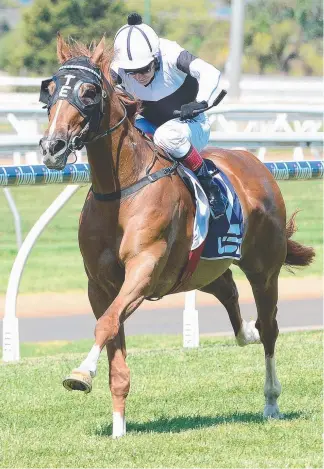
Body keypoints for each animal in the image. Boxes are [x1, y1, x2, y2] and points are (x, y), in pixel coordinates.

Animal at [38, 35, 314, 436]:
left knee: (270, 328)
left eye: (89, 92)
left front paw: (81, 373)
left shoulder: (144, 269)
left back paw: (271, 399)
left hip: (264, 269)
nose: (52, 147)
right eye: (50, 88)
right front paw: (118, 428)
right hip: (201, 267)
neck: (121, 189)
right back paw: (244, 332)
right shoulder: (100, 283)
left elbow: (106, 323)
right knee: (228, 290)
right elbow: (112, 337)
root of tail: (257, 164)